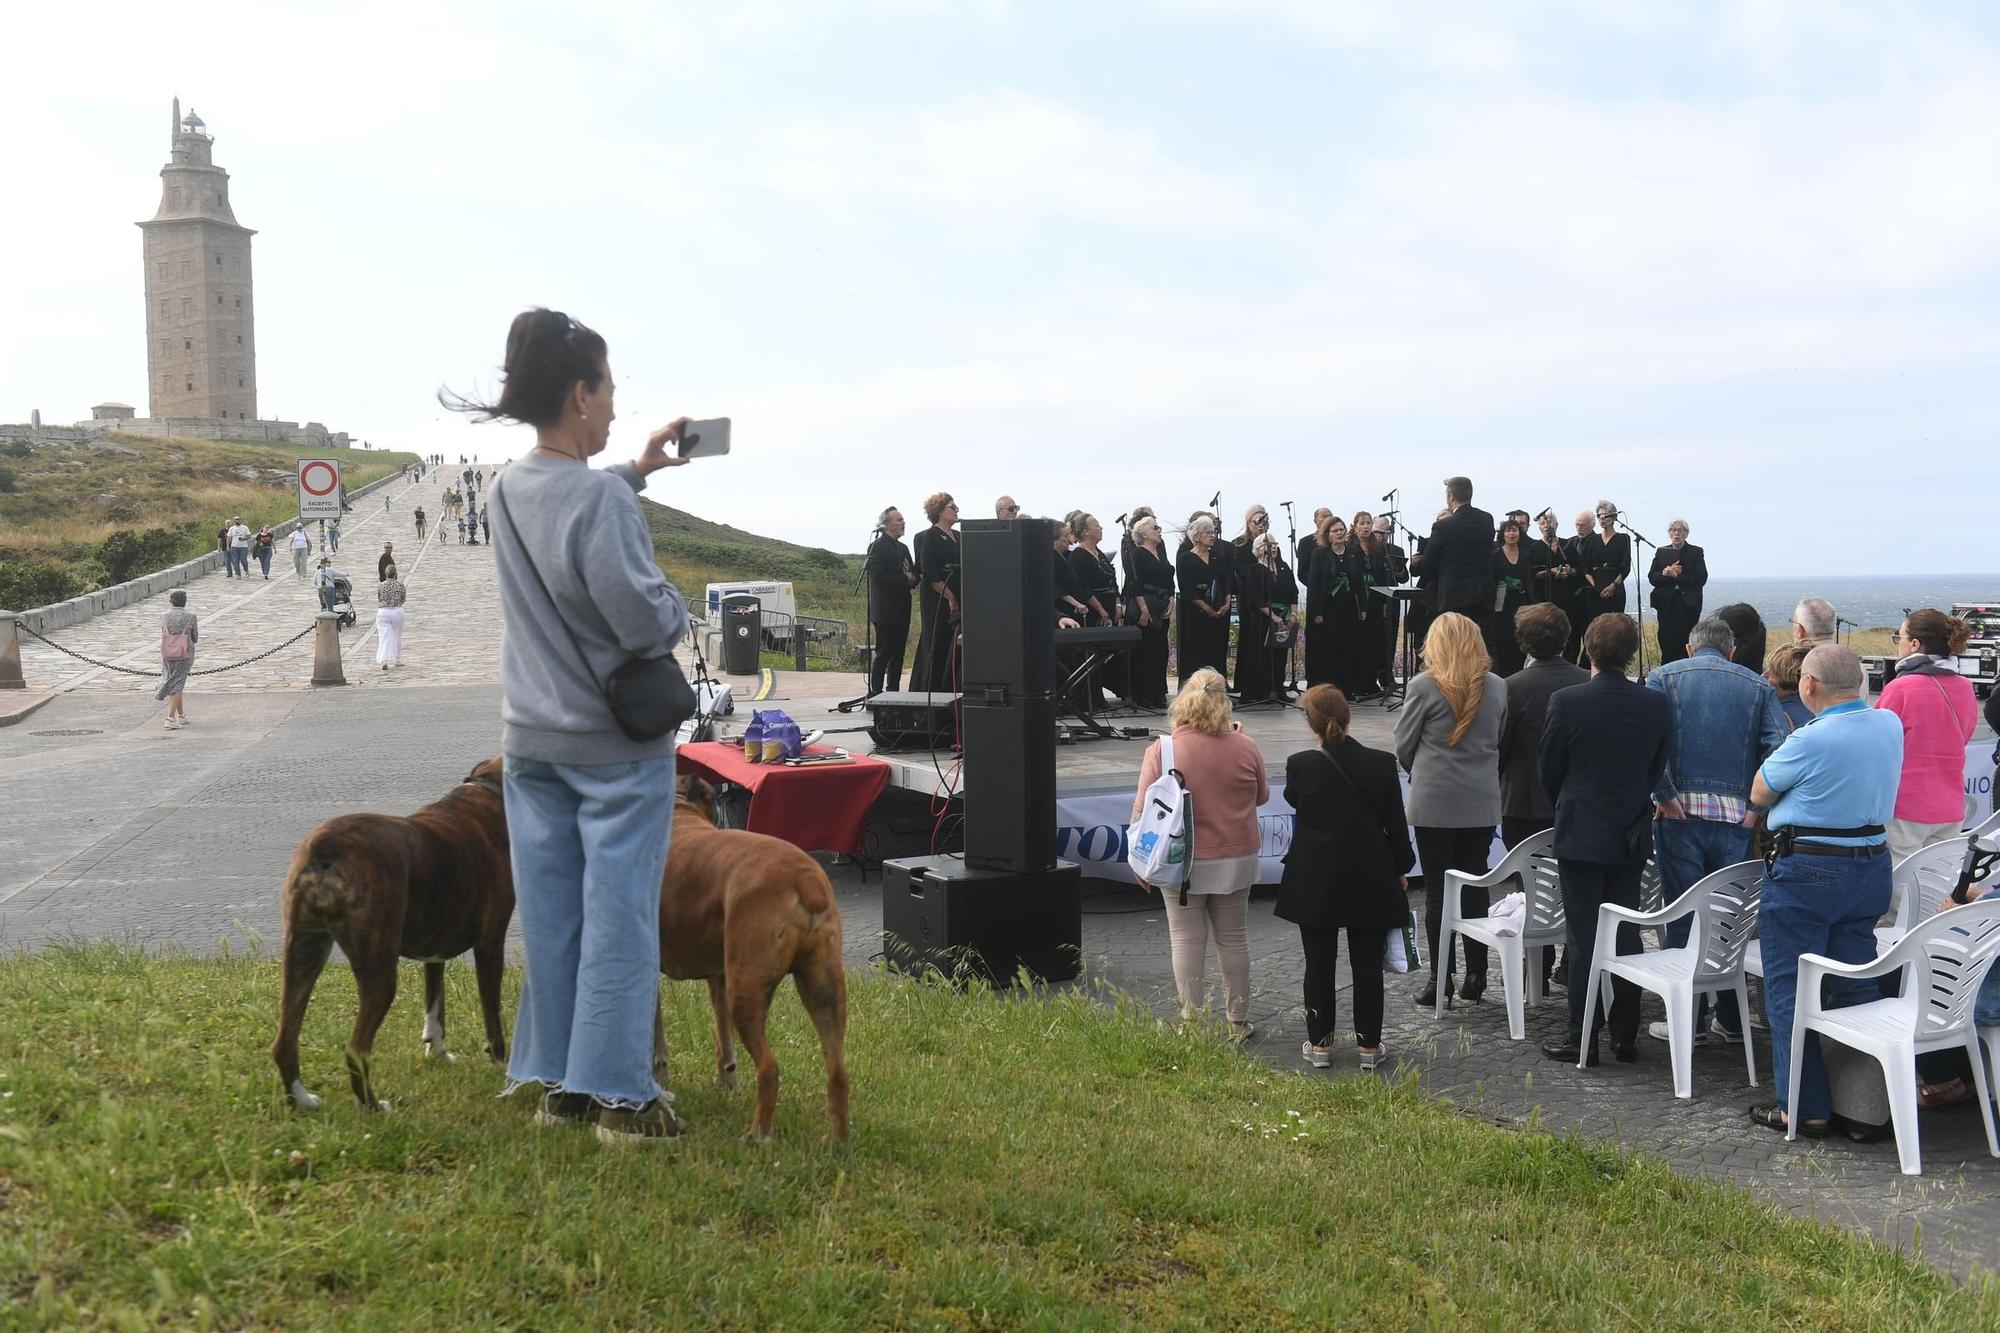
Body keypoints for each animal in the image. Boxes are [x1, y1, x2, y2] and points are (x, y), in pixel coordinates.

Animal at [272, 752, 516, 1104]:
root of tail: (326, 849)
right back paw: (373, 1106)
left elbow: (434, 1005)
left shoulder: (435, 949)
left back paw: (302, 1101)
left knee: (285, 1040)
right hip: (379, 971)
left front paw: (439, 1052)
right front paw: (500, 1065)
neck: (488, 792)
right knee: (356, 1049)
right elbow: (492, 1014)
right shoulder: (490, 946)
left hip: (303, 952)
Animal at [656, 772, 844, 1136]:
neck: (679, 810)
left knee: (770, 1068)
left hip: (747, 993)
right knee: (838, 1072)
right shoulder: (719, 979)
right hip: (823, 990)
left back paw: (758, 1134)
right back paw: (837, 1140)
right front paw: (727, 1084)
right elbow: (723, 1038)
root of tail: (805, 879)